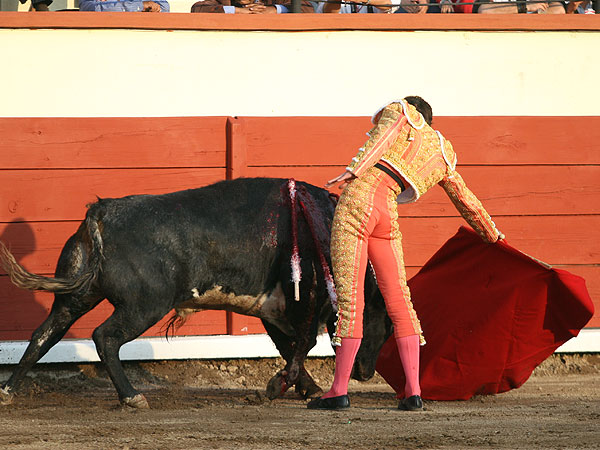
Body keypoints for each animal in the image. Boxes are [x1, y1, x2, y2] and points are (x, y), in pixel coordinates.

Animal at [0, 178, 392, 408]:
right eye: (387, 326)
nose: (365, 374)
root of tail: (102, 211)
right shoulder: (303, 300)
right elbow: (303, 342)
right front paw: (280, 386)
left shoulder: (275, 308)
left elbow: (289, 345)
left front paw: (304, 388)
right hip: (144, 305)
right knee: (104, 336)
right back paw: (132, 396)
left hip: (78, 297)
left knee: (44, 334)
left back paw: (8, 391)